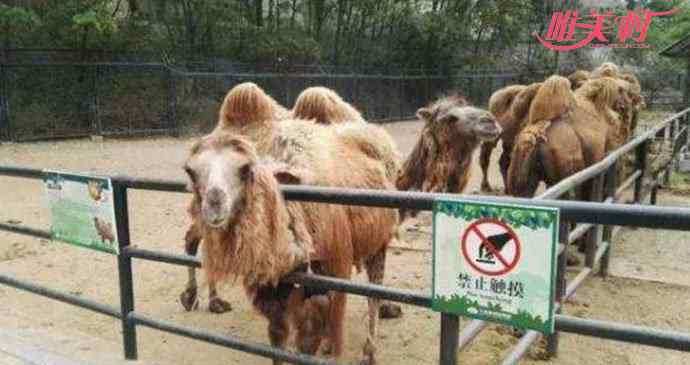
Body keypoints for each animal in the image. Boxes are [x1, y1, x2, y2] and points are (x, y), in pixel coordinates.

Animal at [183, 121, 398, 362]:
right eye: (190, 171)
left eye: (245, 169)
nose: (214, 203)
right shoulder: (275, 288)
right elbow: (279, 337)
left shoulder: (335, 266)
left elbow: (322, 328)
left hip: (379, 243)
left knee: (373, 294)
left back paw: (368, 353)